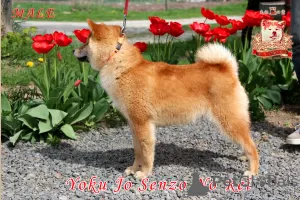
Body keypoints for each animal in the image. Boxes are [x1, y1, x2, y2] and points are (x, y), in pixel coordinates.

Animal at [74, 19, 258, 180]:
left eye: (86, 41)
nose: (73, 51)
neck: (121, 65)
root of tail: (228, 70)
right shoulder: (134, 124)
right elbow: (138, 151)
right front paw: (134, 169)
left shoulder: (143, 124)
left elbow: (146, 154)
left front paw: (144, 173)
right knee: (246, 140)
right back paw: (244, 157)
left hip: (229, 120)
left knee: (252, 146)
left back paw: (253, 170)